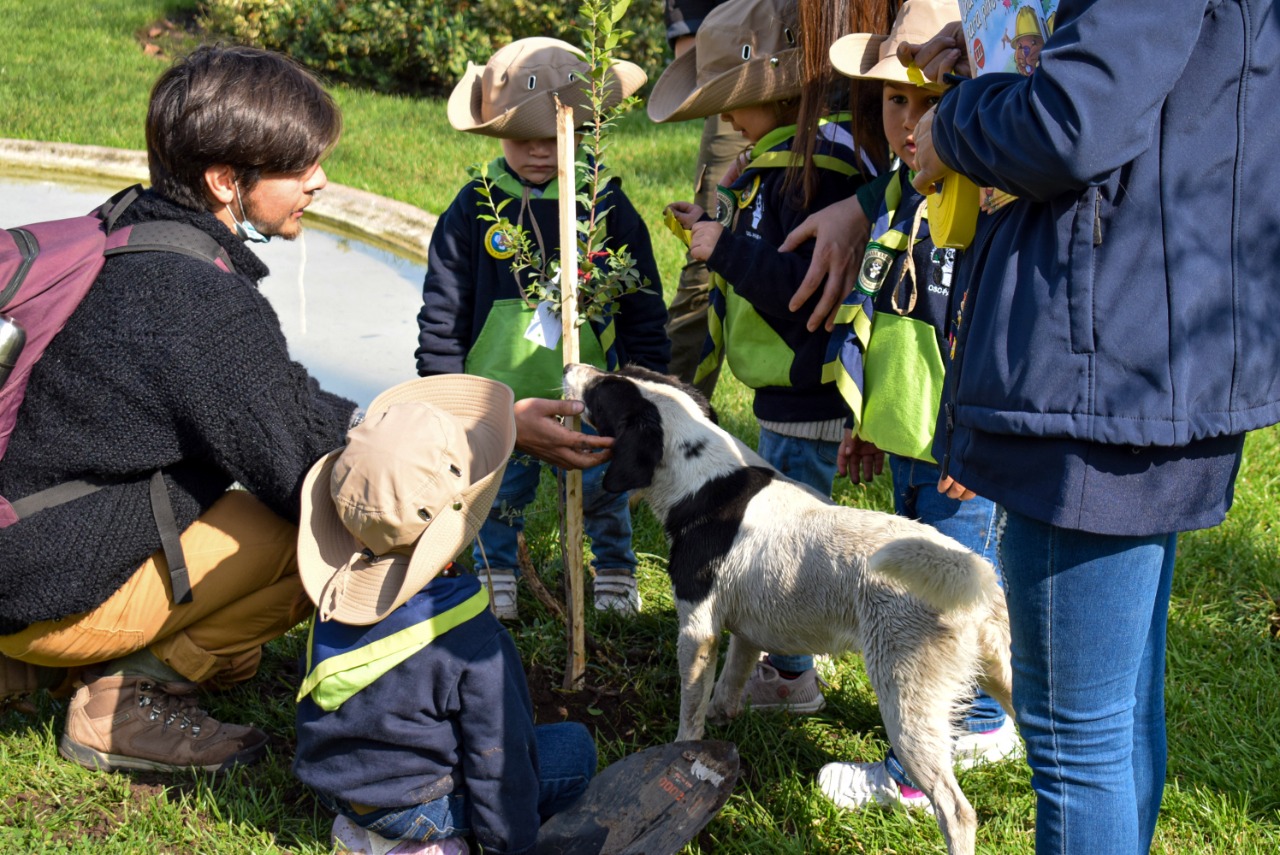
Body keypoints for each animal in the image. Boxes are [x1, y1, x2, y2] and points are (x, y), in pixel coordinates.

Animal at [565, 363, 1013, 855]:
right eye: (621, 372)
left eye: (601, 392)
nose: (570, 367)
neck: (704, 481)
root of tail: (976, 572)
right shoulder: (745, 632)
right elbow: (726, 689)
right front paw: (723, 724)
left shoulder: (698, 630)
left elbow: (691, 712)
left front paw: (681, 753)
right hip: (1004, 677)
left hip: (907, 705)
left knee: (956, 810)